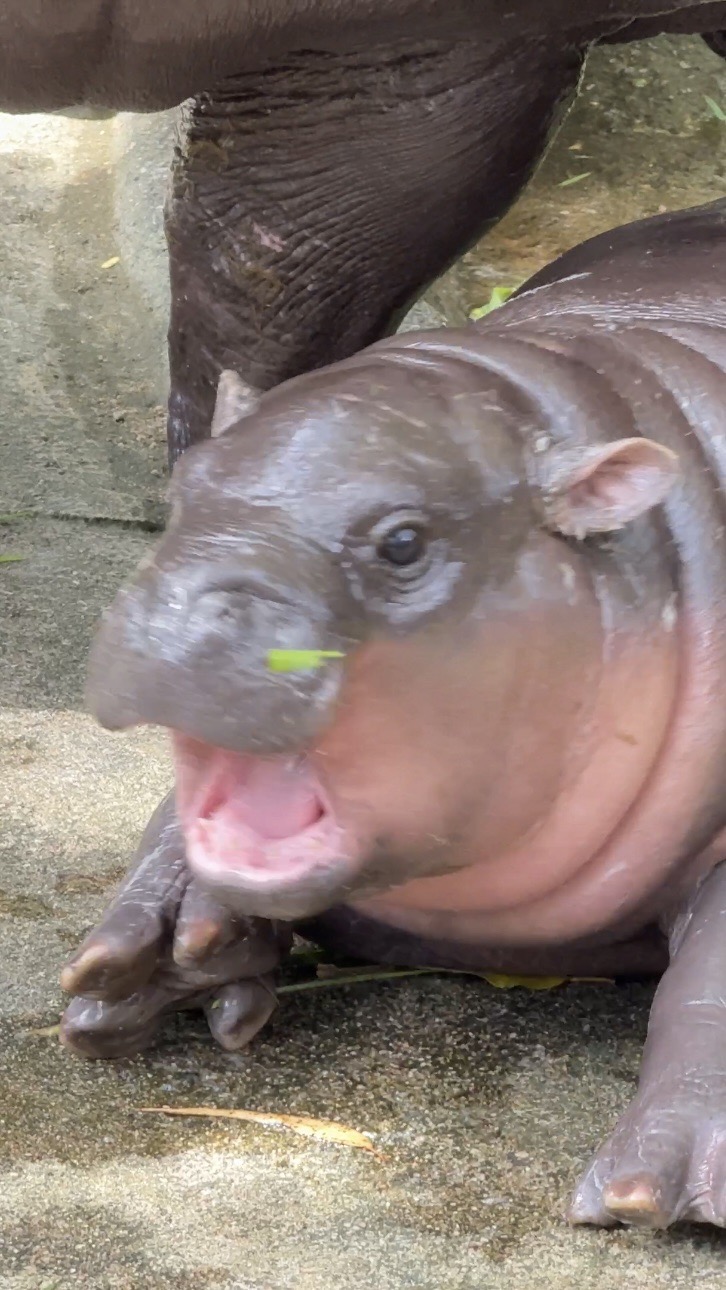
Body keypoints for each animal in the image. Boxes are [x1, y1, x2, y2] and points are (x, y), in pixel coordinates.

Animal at [60, 201, 726, 1228]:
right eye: (184, 487)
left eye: (404, 542)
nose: (180, 607)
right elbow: (173, 824)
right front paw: (159, 958)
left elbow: (712, 982)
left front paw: (649, 1192)